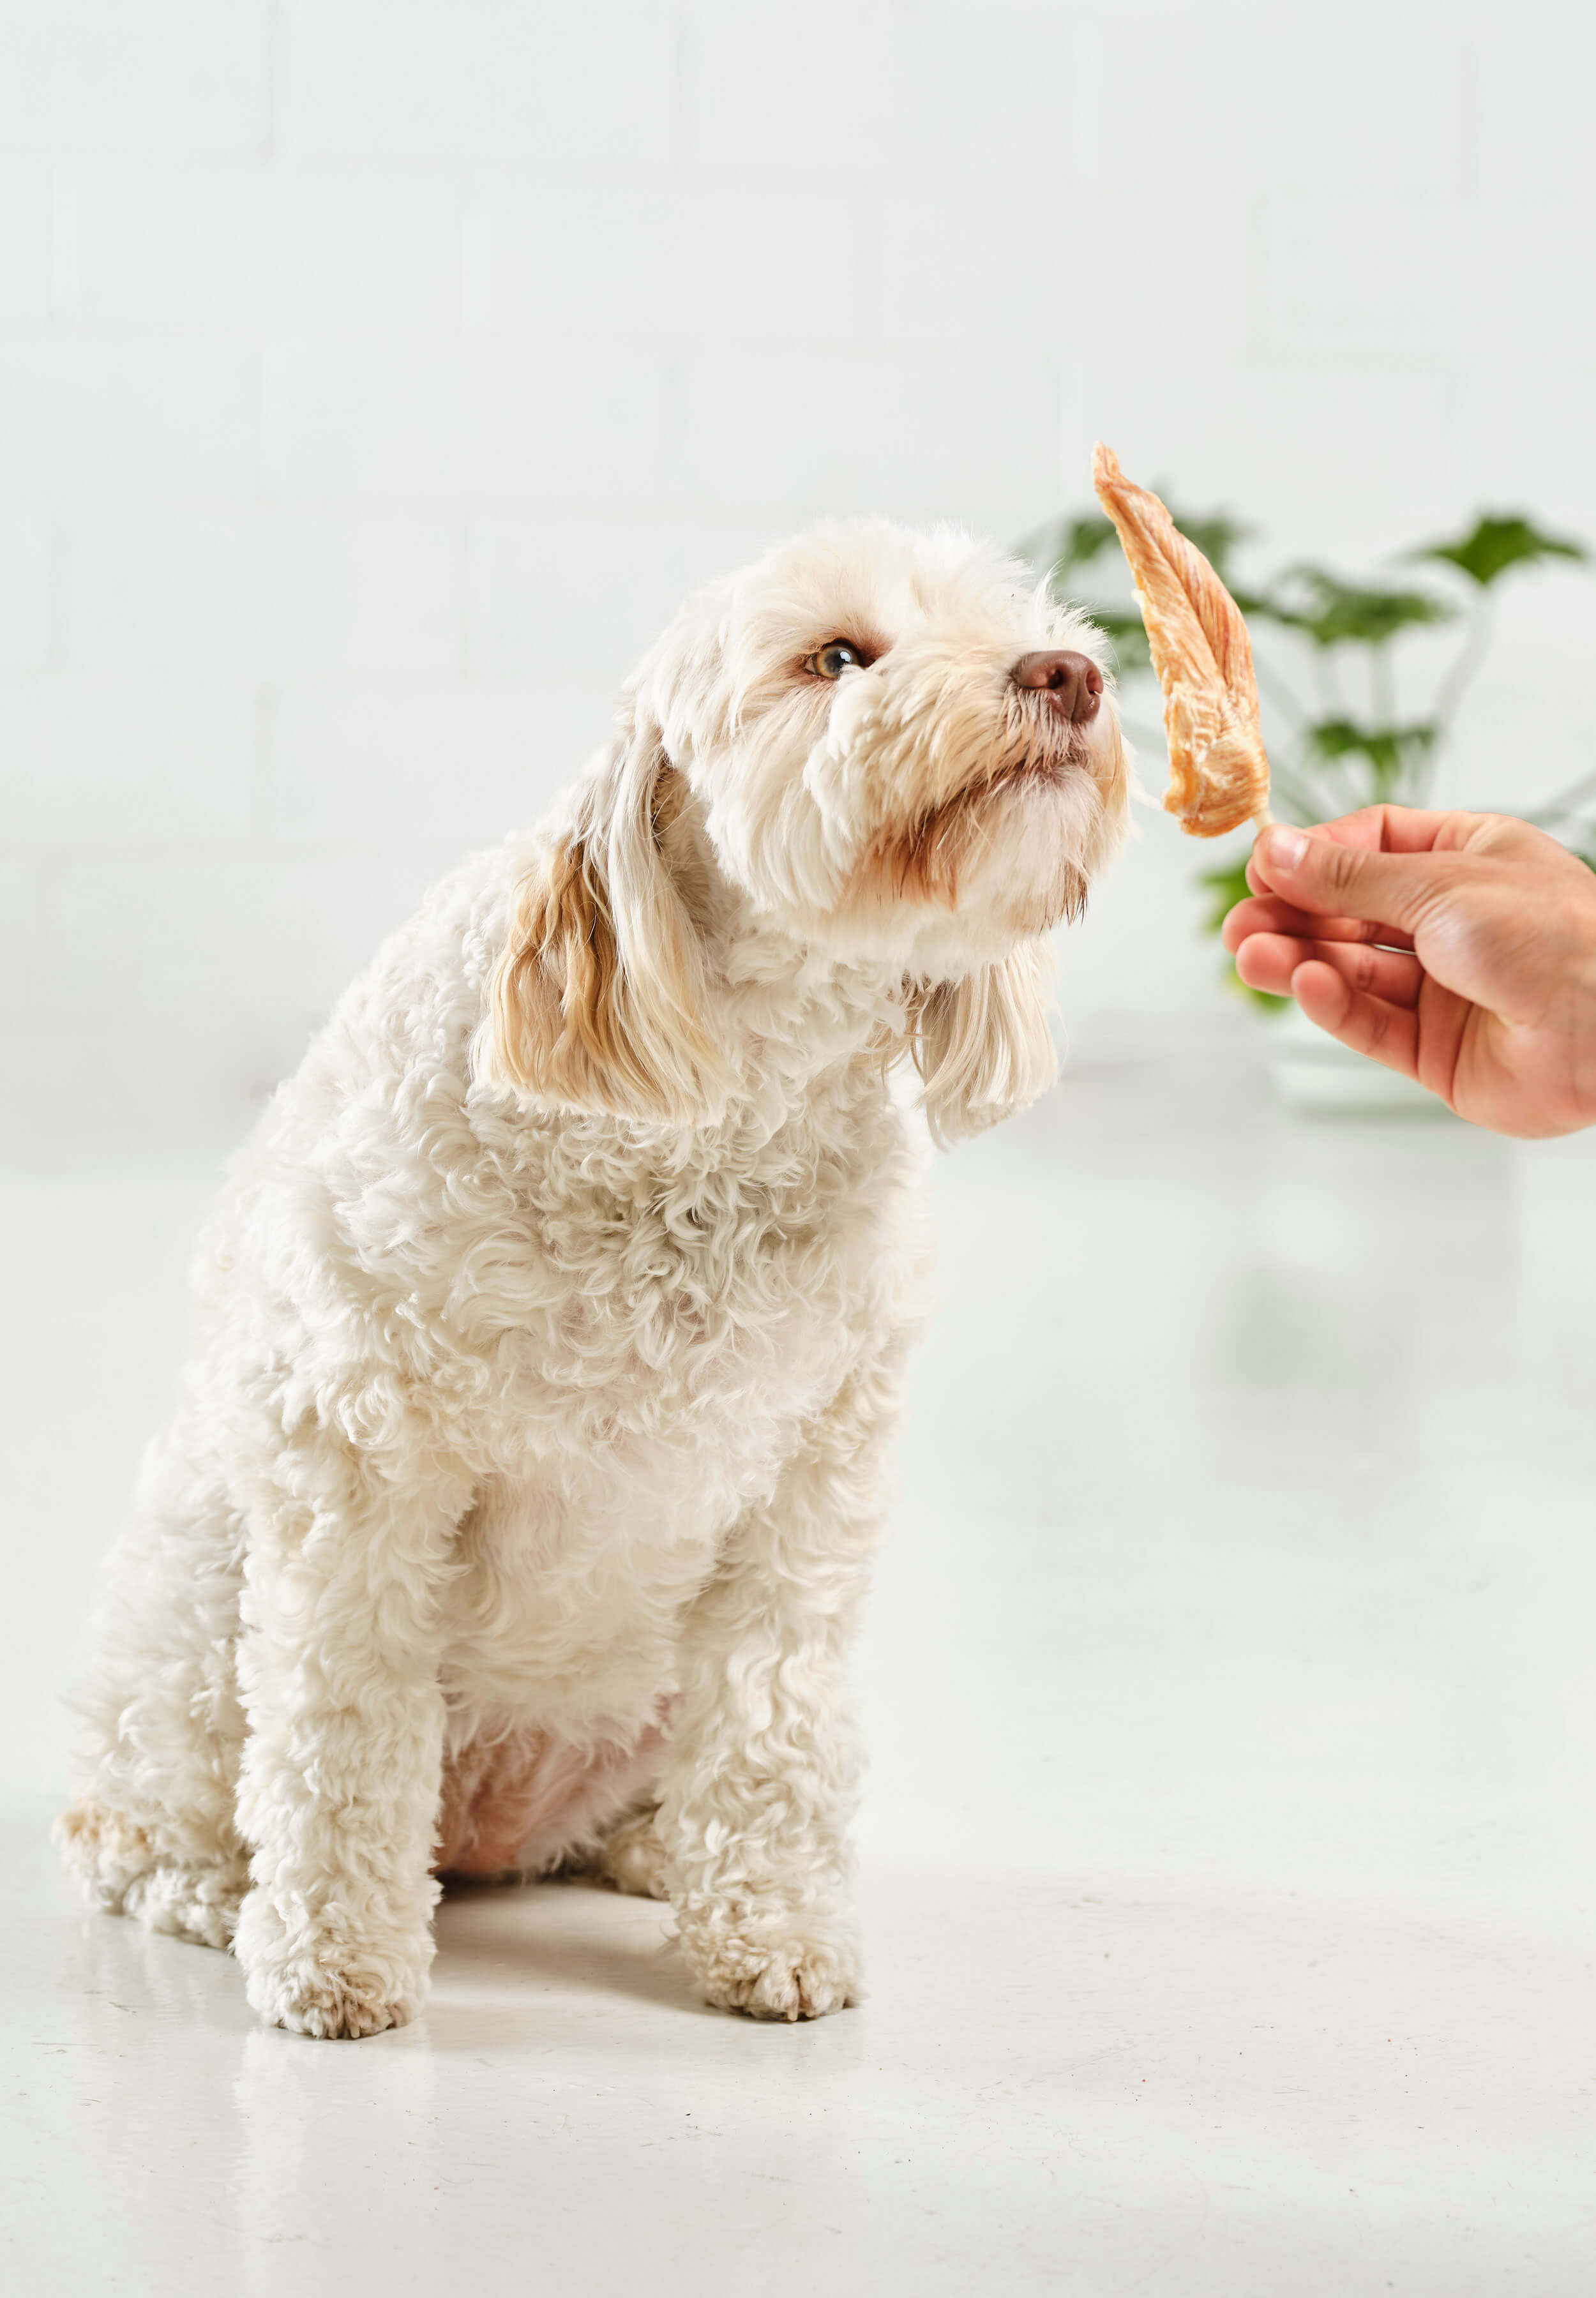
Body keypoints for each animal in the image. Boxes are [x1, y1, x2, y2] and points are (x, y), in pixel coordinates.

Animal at [63, 517, 1131, 2031]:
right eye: (836, 657)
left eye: (1020, 621)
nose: (1068, 675)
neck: (711, 1110)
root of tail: (490, 1834)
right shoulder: (357, 1459)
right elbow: (344, 1725)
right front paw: (335, 1961)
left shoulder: (809, 1486)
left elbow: (774, 1721)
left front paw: (772, 1932)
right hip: (186, 1642)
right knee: (149, 1821)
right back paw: (223, 1895)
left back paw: (656, 1851)